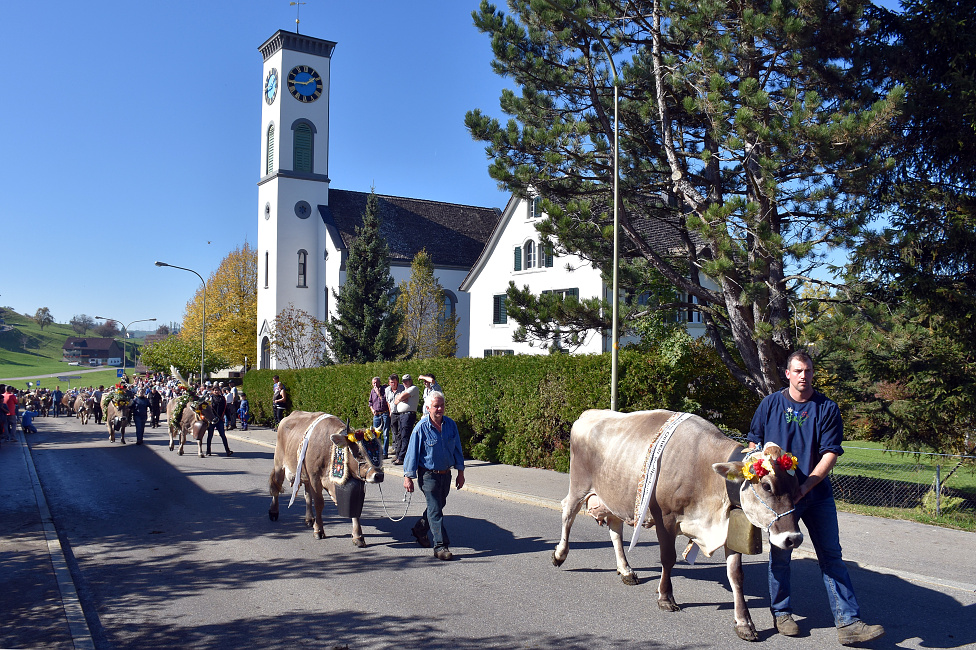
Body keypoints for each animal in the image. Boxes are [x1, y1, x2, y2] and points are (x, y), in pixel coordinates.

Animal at [270, 410, 388, 548]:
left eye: (380, 450)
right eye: (359, 453)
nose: (379, 475)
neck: (329, 449)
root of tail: (289, 416)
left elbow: (354, 509)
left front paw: (358, 536)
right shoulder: (315, 478)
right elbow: (319, 503)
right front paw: (319, 530)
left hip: (305, 474)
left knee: (307, 495)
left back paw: (309, 519)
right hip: (279, 465)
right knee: (276, 488)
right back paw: (273, 512)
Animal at [548, 408, 800, 640]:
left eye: (796, 487)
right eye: (766, 486)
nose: (794, 538)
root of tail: (590, 413)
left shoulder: (727, 527)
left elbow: (736, 575)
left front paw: (744, 623)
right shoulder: (665, 517)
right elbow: (668, 558)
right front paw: (665, 597)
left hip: (614, 495)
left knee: (615, 529)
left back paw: (626, 570)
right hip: (579, 483)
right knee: (568, 512)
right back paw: (560, 554)